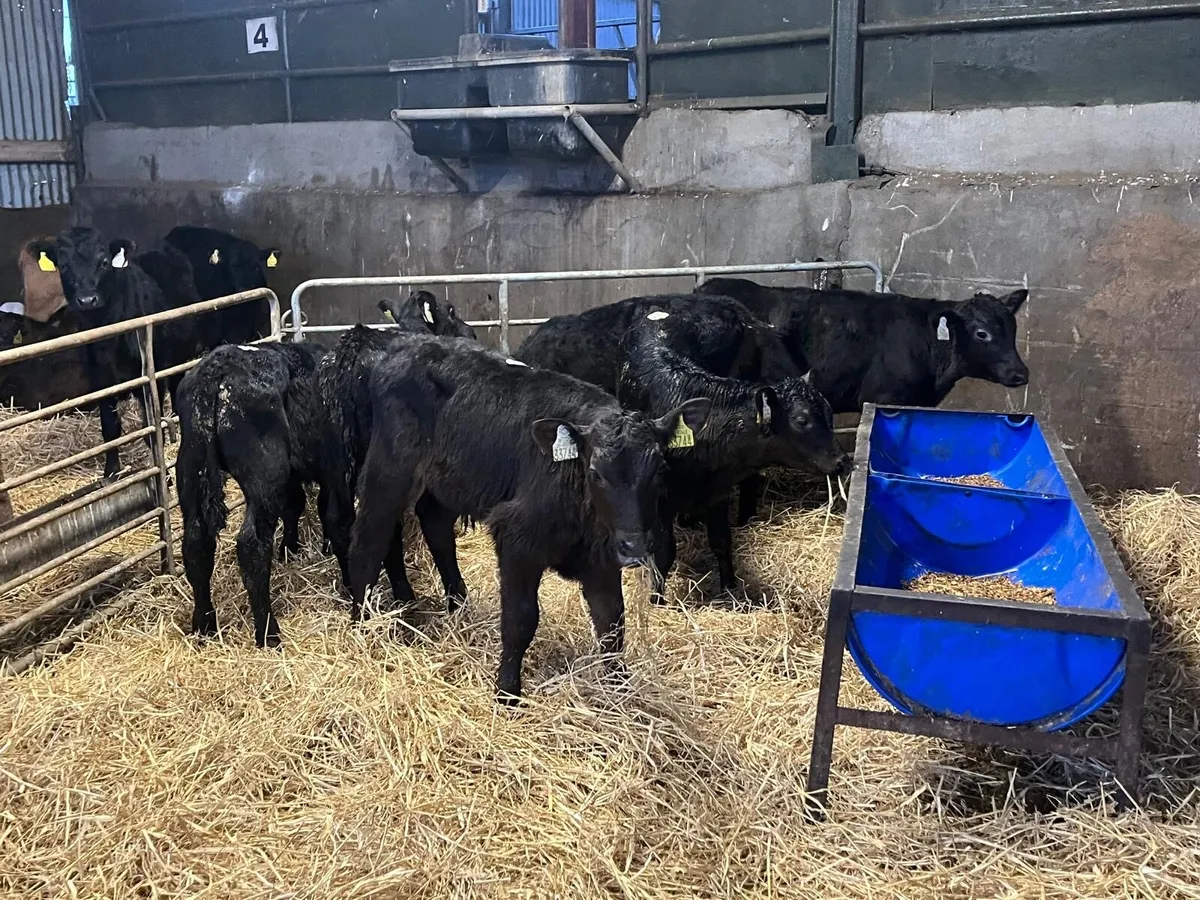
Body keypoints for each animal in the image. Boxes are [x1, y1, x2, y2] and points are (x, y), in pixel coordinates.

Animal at [50, 226, 208, 478]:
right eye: (63, 265)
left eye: (104, 261)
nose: (87, 299)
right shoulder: (101, 380)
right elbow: (110, 429)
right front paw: (111, 472)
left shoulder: (151, 375)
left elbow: (150, 425)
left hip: (178, 358)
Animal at [176, 341, 326, 648]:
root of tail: (218, 366)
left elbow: (295, 506)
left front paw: (290, 549)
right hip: (265, 473)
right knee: (251, 544)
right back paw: (269, 633)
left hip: (190, 469)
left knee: (196, 544)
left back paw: (204, 626)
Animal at [347, 333, 710, 702]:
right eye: (595, 473)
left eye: (659, 469)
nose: (635, 547)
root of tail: (405, 344)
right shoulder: (517, 539)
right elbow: (521, 619)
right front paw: (507, 693)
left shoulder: (603, 554)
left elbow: (611, 622)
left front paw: (618, 689)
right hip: (390, 468)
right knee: (368, 542)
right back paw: (362, 626)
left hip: (447, 480)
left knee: (436, 528)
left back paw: (459, 606)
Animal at [617, 310, 849, 593]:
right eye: (802, 420)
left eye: (829, 413)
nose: (842, 461)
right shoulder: (660, 498)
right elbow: (663, 552)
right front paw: (656, 597)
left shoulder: (718, 492)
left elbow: (721, 541)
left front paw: (729, 588)